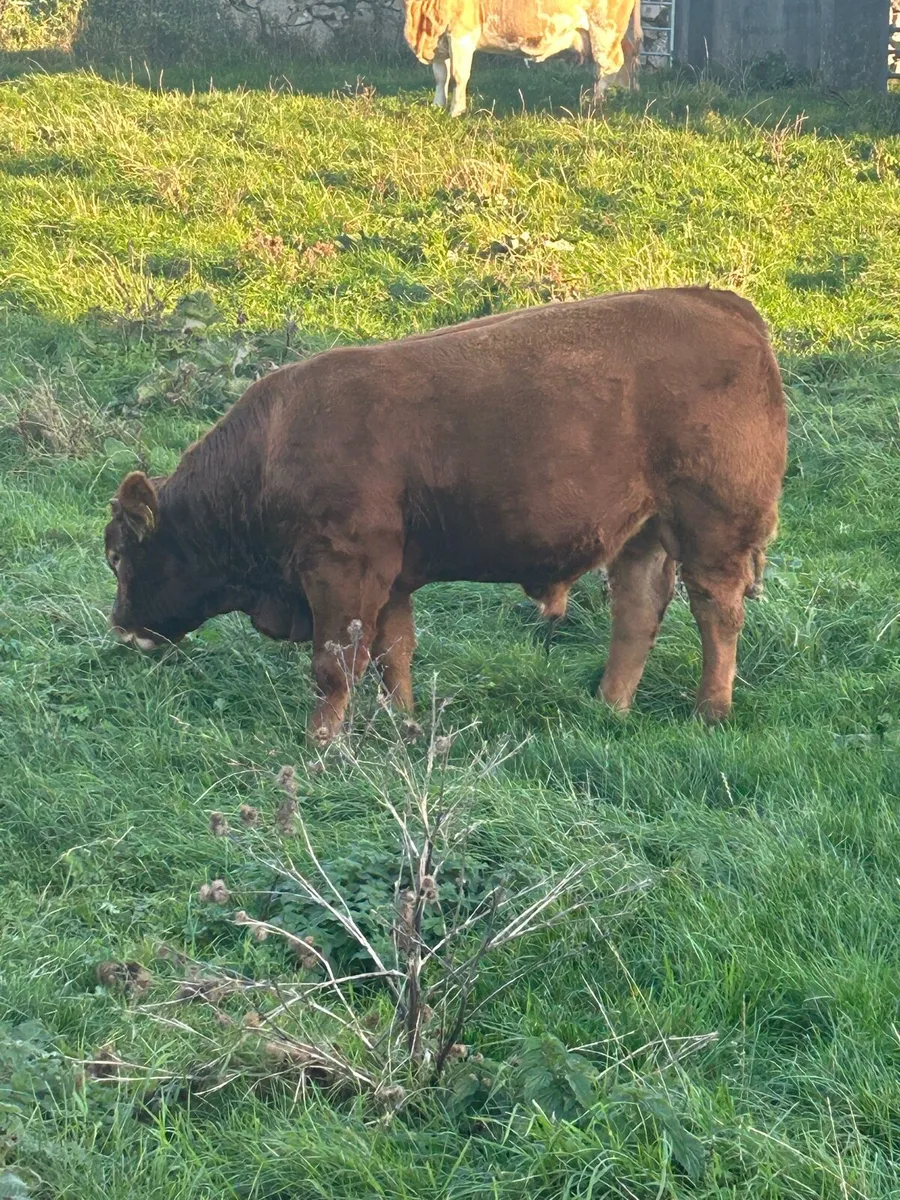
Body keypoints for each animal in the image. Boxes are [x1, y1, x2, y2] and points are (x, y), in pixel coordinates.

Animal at [104, 287, 787, 745]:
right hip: (642, 536)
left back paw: (710, 710)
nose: (121, 628)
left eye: (118, 555)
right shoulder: (391, 581)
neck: (272, 447)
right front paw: (403, 723)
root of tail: (722, 304)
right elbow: (394, 655)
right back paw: (609, 706)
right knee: (639, 612)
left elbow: (334, 666)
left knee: (716, 612)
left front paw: (320, 742)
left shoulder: (343, 574)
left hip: (712, 531)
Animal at [404, 0, 642, 116]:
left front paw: (456, 111)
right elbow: (440, 75)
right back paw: (628, 92)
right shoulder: (439, 38)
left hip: (604, 29)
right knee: (628, 54)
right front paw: (438, 105)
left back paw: (596, 104)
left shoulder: (462, 33)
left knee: (609, 64)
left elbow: (459, 76)